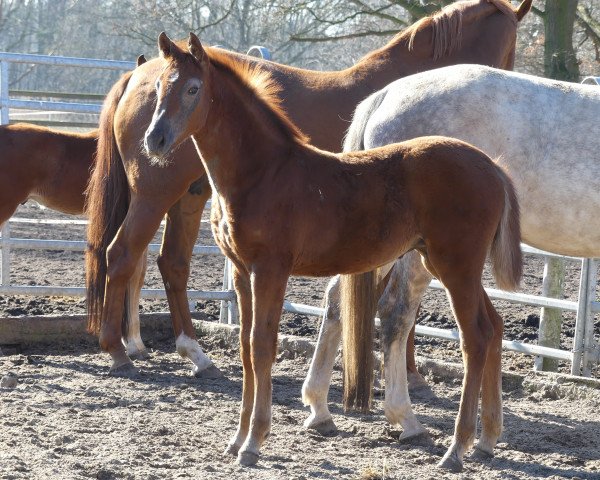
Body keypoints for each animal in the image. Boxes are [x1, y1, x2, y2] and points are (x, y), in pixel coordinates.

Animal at [85, 0, 536, 376]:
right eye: (513, 47)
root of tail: (136, 74)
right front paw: (406, 370)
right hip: (154, 194)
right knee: (122, 254)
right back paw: (117, 349)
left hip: (188, 196)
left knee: (172, 264)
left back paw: (194, 352)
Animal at [143, 32, 524, 472]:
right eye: (157, 86)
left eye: (192, 89)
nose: (154, 140)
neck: (262, 173)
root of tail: (492, 167)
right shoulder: (240, 271)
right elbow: (244, 348)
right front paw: (236, 440)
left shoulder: (270, 269)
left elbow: (262, 346)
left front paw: (253, 442)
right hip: (454, 266)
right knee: (494, 326)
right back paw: (486, 441)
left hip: (455, 265)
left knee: (475, 337)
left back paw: (456, 449)